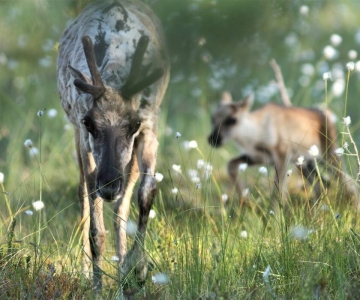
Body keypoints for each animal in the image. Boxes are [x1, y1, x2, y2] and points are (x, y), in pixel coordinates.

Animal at [56, 0, 169, 290]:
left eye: (134, 123)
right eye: (90, 122)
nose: (109, 185)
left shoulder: (150, 124)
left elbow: (147, 192)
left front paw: (137, 268)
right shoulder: (82, 134)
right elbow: (95, 222)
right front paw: (97, 285)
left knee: (121, 207)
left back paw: (122, 268)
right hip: (76, 138)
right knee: (83, 196)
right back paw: (88, 272)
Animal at [208, 92, 352, 202]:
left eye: (232, 120)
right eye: (212, 118)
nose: (212, 140)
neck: (255, 135)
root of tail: (329, 115)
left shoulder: (282, 155)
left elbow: (278, 192)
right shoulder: (259, 157)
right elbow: (231, 164)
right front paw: (245, 200)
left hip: (330, 154)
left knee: (348, 183)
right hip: (304, 164)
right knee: (321, 186)